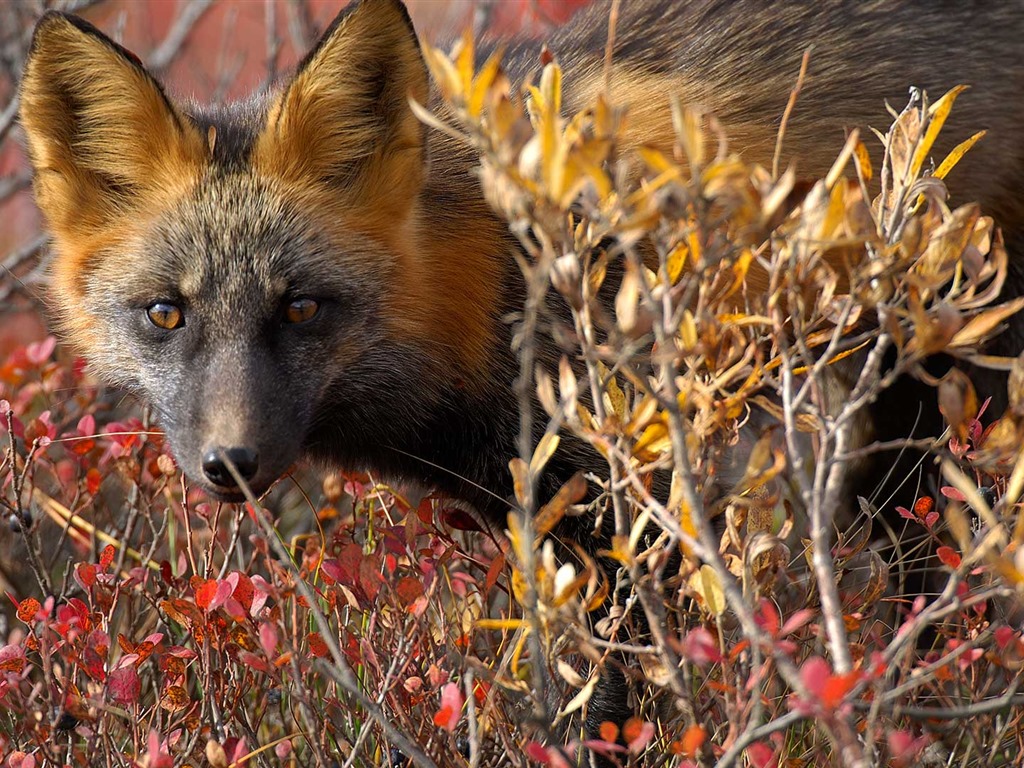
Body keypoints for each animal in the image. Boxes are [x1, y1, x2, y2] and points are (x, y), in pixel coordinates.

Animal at [18, 0, 1024, 753]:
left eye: (300, 308)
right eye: (166, 314)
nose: (230, 464)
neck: (490, 280)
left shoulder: (631, 514)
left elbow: (605, 712)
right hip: (898, 462)